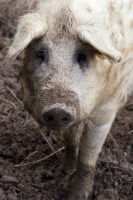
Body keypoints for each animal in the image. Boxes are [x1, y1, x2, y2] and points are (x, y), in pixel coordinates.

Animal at [7, 0, 133, 200]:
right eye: (41, 54)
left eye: (82, 56)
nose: (58, 109)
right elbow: (70, 140)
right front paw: (62, 171)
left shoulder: (106, 111)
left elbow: (87, 159)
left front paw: (77, 196)